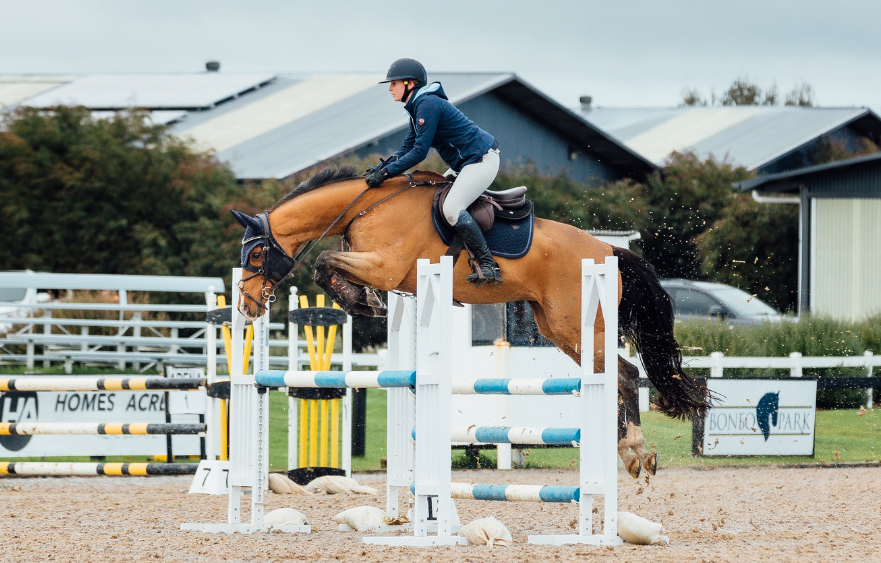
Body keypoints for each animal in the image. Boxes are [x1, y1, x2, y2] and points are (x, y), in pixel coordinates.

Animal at [232, 166, 712, 478]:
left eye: (255, 255)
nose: (247, 308)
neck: (366, 206)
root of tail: (610, 250)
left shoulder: (385, 266)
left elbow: (325, 262)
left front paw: (362, 301)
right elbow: (327, 266)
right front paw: (362, 300)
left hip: (576, 326)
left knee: (627, 375)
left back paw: (635, 452)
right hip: (560, 329)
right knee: (614, 375)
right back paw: (626, 451)